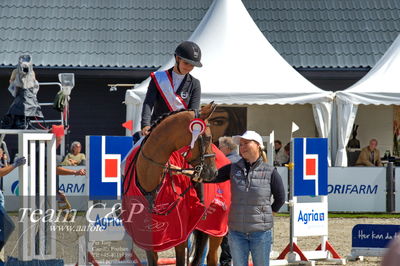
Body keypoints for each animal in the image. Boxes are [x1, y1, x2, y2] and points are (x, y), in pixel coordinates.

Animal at [123, 102, 220, 266]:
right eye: (207, 138)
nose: (213, 172)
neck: (149, 178)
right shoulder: (149, 239)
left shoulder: (179, 238)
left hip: (217, 230)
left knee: (212, 257)